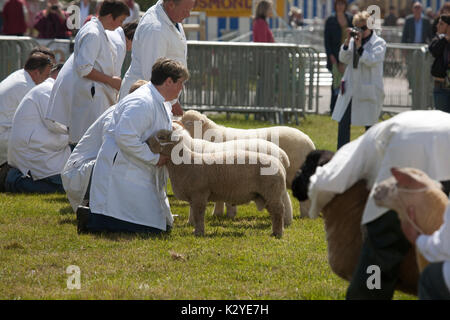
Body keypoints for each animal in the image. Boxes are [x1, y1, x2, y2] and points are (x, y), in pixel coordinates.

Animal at [146, 128, 290, 238]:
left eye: (161, 137)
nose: (146, 141)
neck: (185, 163)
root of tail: (280, 163)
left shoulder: (199, 194)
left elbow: (199, 215)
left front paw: (199, 233)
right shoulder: (194, 197)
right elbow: (194, 214)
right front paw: (195, 229)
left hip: (272, 192)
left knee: (278, 211)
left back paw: (278, 233)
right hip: (267, 194)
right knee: (274, 212)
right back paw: (276, 231)